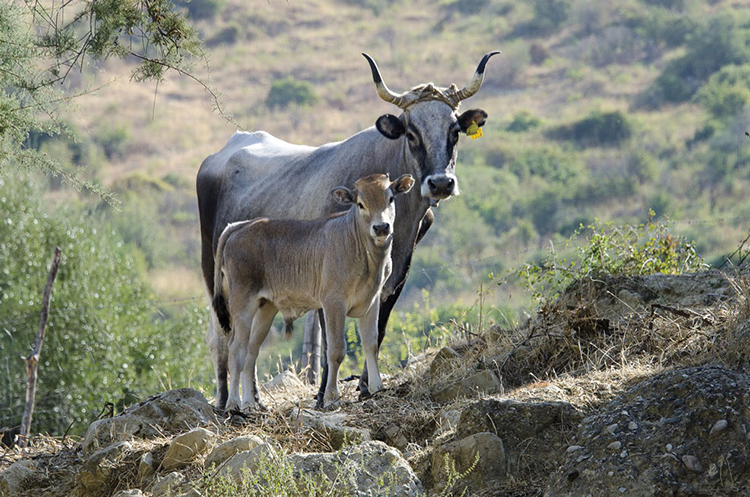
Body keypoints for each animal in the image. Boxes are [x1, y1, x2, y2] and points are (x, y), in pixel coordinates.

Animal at [212, 172, 414, 408]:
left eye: (390, 198)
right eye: (360, 204)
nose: (381, 227)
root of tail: (240, 225)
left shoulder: (371, 300)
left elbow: (371, 343)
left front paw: (376, 387)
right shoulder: (334, 302)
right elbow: (336, 349)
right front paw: (331, 397)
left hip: (266, 307)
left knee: (251, 350)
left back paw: (249, 404)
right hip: (242, 302)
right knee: (236, 348)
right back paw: (234, 404)